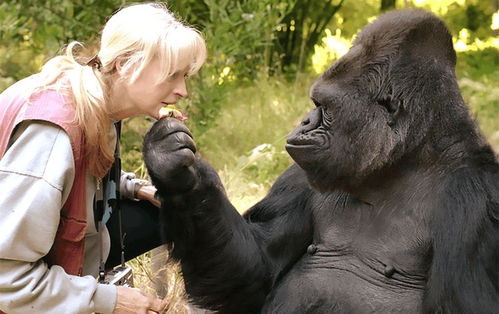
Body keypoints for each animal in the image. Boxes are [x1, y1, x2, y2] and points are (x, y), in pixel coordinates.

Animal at [144, 8, 499, 314]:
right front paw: (176, 172)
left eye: (324, 107)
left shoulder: (479, 201)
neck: (401, 163)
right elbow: (256, 269)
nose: (303, 122)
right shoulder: (301, 175)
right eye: (315, 103)